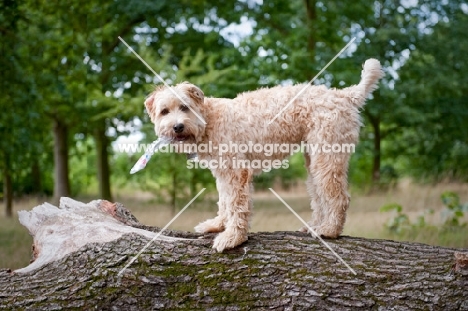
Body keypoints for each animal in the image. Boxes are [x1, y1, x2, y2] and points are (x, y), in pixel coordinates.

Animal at [144, 59, 384, 254]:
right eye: (164, 111)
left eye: (184, 107)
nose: (177, 127)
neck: (209, 119)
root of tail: (344, 95)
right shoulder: (223, 172)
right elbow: (224, 202)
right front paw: (218, 225)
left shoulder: (236, 172)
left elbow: (236, 205)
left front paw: (232, 238)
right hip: (314, 160)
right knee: (319, 196)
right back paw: (314, 226)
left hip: (327, 157)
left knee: (338, 197)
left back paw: (329, 230)